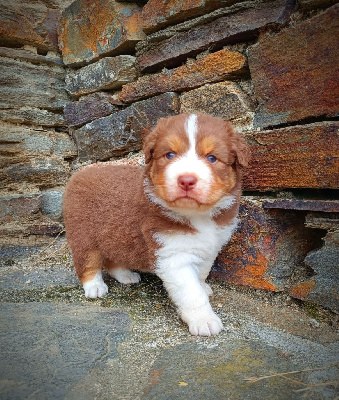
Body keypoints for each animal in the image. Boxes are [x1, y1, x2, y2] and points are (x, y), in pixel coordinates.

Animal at [63, 112, 250, 334]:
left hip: (114, 236)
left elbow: (202, 272)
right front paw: (204, 320)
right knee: (87, 263)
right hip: (84, 235)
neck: (198, 215)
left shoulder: (211, 246)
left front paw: (203, 286)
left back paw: (125, 275)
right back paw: (94, 286)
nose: (186, 180)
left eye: (212, 158)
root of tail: (80, 173)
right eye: (169, 155)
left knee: (113, 259)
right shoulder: (172, 255)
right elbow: (191, 292)